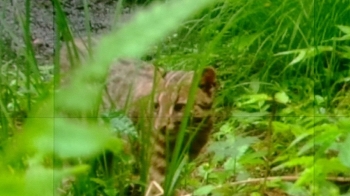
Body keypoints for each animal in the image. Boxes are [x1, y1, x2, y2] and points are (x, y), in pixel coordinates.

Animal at [59, 36, 216, 194]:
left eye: (179, 107)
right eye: (156, 105)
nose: (160, 126)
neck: (184, 139)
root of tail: (71, 41)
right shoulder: (155, 169)